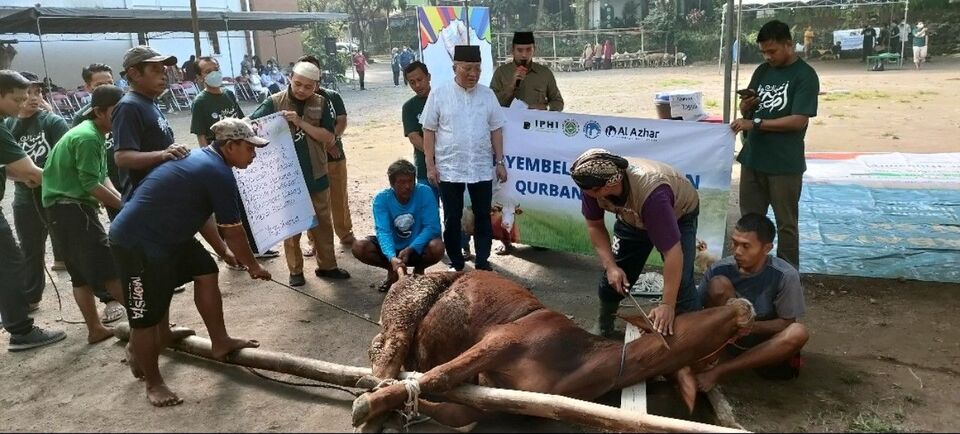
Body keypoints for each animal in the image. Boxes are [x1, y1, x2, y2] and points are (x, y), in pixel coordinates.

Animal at [352, 272, 756, 430]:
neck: (577, 363)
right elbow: (439, 376)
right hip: (405, 311)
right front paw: (368, 405)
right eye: (700, 313)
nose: (745, 305)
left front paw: (398, 408)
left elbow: (451, 408)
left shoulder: (493, 395)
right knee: (384, 355)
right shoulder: (501, 341)